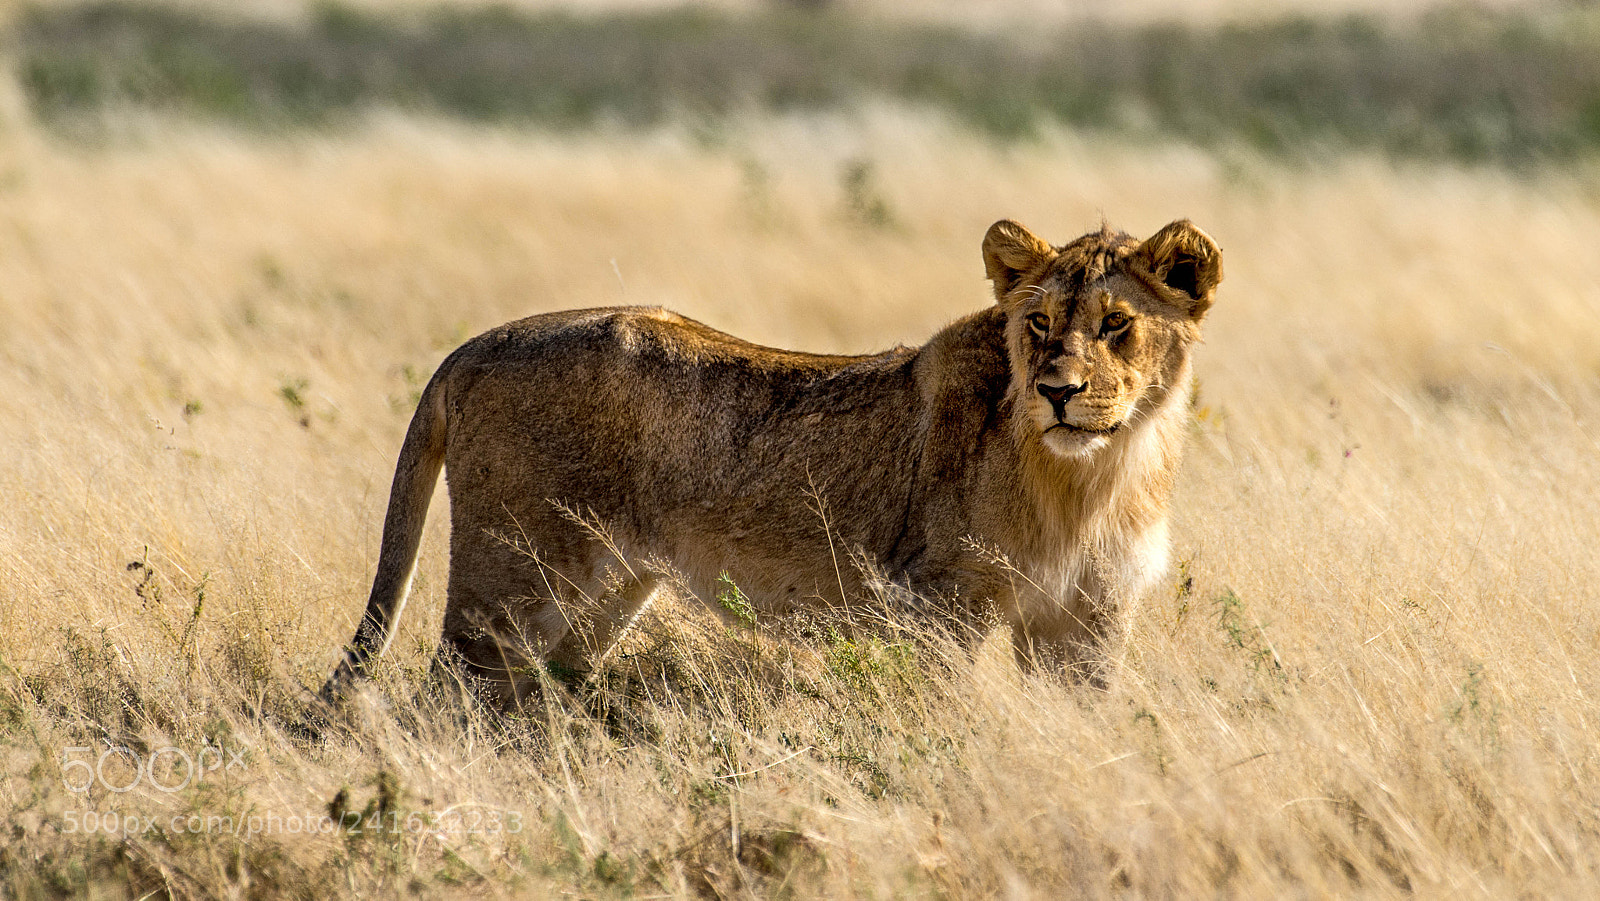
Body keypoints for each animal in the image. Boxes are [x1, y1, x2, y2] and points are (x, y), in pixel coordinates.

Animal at [320, 218, 1222, 706]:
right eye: (1037, 323)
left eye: (1115, 325)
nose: (1057, 392)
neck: (1093, 477)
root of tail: (478, 343)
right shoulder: (940, 605)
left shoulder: (1089, 620)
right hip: (510, 580)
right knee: (445, 698)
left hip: (603, 594)